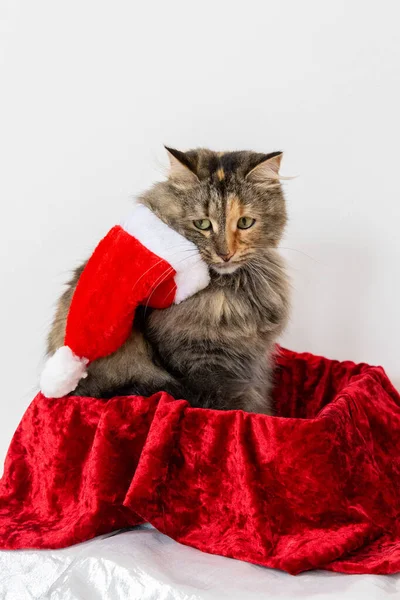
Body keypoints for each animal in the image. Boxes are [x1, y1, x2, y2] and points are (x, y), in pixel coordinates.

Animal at [47, 148, 290, 414]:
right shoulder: (204, 366)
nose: (225, 254)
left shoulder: (252, 365)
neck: (228, 297)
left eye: (245, 223)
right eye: (203, 224)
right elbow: (232, 406)